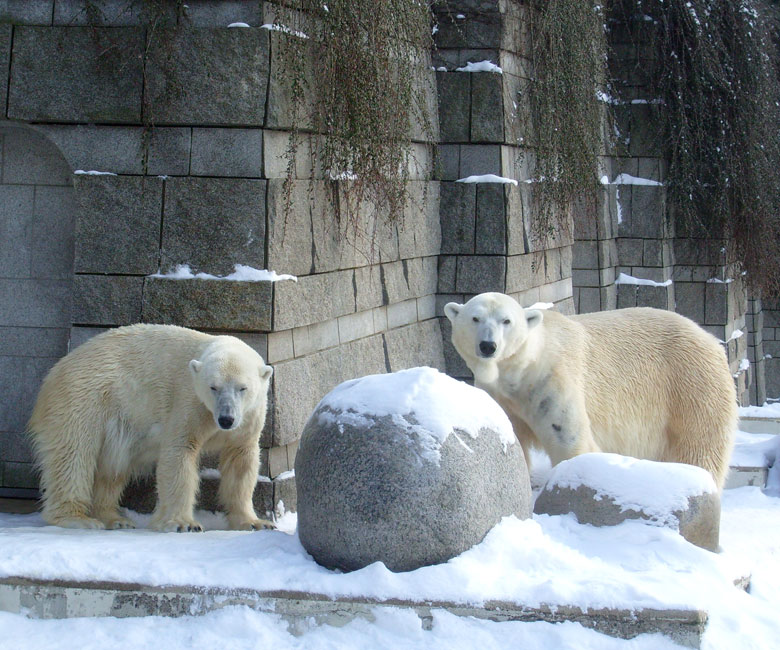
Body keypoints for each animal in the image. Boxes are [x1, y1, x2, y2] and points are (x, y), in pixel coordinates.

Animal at [27, 324, 276, 532]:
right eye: (212, 387)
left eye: (242, 388)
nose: (226, 419)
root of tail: (53, 373)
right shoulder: (188, 401)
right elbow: (179, 454)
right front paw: (183, 524)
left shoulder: (249, 417)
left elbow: (241, 462)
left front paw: (255, 523)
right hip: (82, 400)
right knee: (73, 456)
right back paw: (78, 519)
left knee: (111, 469)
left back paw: (114, 518)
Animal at [444, 292, 736, 486]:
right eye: (475, 318)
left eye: (506, 321)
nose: (488, 345)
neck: (522, 370)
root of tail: (710, 339)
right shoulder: (500, 396)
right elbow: (513, 442)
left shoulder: (552, 382)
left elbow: (569, 440)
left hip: (692, 387)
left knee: (699, 447)